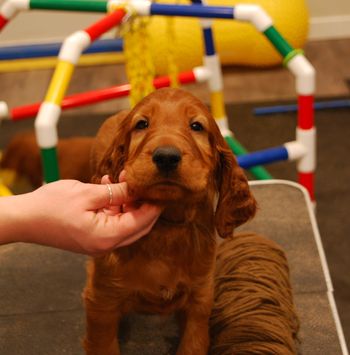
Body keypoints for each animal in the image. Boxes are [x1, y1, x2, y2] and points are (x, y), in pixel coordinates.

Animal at [83, 87, 256, 355]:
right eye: (142, 124)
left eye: (196, 126)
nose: (166, 157)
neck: (166, 226)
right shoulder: (102, 301)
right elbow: (104, 345)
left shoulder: (200, 298)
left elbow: (193, 344)